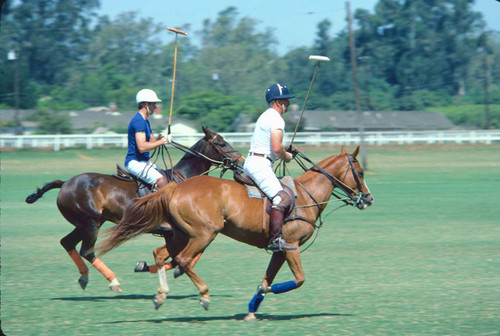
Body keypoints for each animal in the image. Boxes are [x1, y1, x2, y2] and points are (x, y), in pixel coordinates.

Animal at [25, 127, 244, 292]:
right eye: (222, 143)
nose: (241, 163)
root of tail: (64, 184)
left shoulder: (177, 233)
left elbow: (180, 257)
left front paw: (147, 266)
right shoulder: (175, 232)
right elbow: (180, 256)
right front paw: (160, 268)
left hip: (85, 223)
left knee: (67, 242)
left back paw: (84, 277)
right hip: (90, 223)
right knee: (87, 250)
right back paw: (113, 281)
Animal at [97, 145, 374, 318]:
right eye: (360, 172)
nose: (368, 199)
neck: (307, 196)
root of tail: (174, 188)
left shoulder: (279, 249)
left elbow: (268, 278)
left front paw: (253, 308)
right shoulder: (292, 245)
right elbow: (297, 280)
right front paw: (262, 295)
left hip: (181, 234)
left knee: (161, 253)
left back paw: (160, 295)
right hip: (204, 233)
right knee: (183, 259)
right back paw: (204, 296)